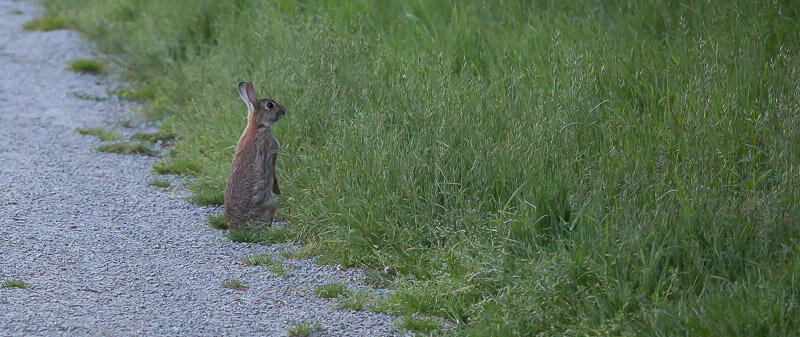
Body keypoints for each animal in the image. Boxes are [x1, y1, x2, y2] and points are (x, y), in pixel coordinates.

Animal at [223, 80, 286, 230]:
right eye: (270, 105)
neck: (256, 127)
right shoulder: (271, 151)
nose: (284, 110)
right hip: (270, 204)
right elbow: (273, 172)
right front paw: (278, 190)